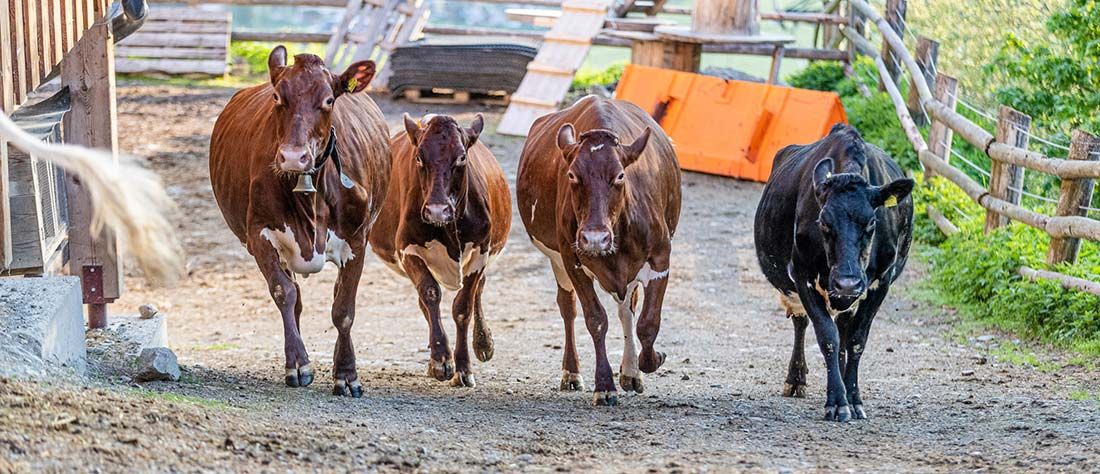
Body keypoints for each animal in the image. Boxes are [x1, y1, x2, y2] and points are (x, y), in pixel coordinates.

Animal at [209, 46, 390, 397]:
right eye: (278, 96)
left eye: (329, 100)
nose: (293, 157)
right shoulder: (259, 234)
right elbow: (285, 293)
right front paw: (299, 364)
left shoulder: (358, 239)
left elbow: (343, 309)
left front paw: (346, 373)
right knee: (295, 298)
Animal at [368, 113, 511, 387]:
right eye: (419, 156)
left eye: (462, 157)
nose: (436, 210)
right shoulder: (407, 250)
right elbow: (430, 294)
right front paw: (441, 359)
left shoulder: (480, 253)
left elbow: (463, 307)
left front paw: (463, 367)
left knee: (479, 289)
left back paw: (484, 343)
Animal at [517, 95, 682, 406]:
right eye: (572, 175)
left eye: (619, 176)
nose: (595, 238)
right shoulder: (572, 260)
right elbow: (595, 320)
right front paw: (604, 385)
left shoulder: (660, 258)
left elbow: (647, 323)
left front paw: (651, 360)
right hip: (557, 259)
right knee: (568, 307)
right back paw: (572, 373)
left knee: (627, 309)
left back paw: (631, 372)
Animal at [754, 124, 914, 421]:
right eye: (823, 222)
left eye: (872, 222)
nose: (847, 283)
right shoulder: (802, 275)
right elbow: (827, 336)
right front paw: (837, 401)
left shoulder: (880, 283)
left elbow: (856, 340)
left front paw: (853, 398)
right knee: (803, 323)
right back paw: (796, 379)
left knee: (843, 330)